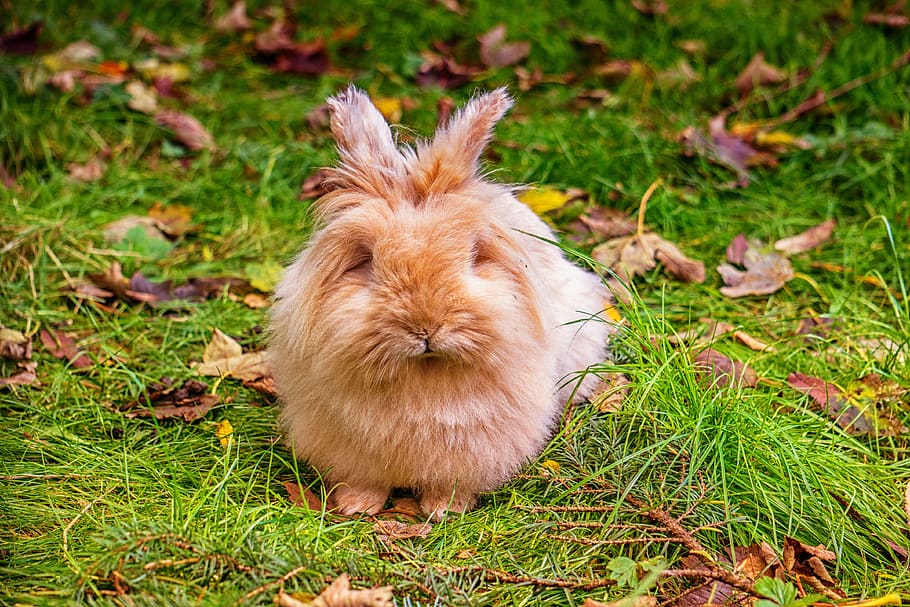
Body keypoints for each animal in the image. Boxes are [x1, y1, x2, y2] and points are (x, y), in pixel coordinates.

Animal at [269, 86, 612, 521]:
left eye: (472, 255)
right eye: (367, 261)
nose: (426, 327)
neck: (424, 376)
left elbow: (450, 482)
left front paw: (443, 511)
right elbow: (365, 479)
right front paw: (357, 507)